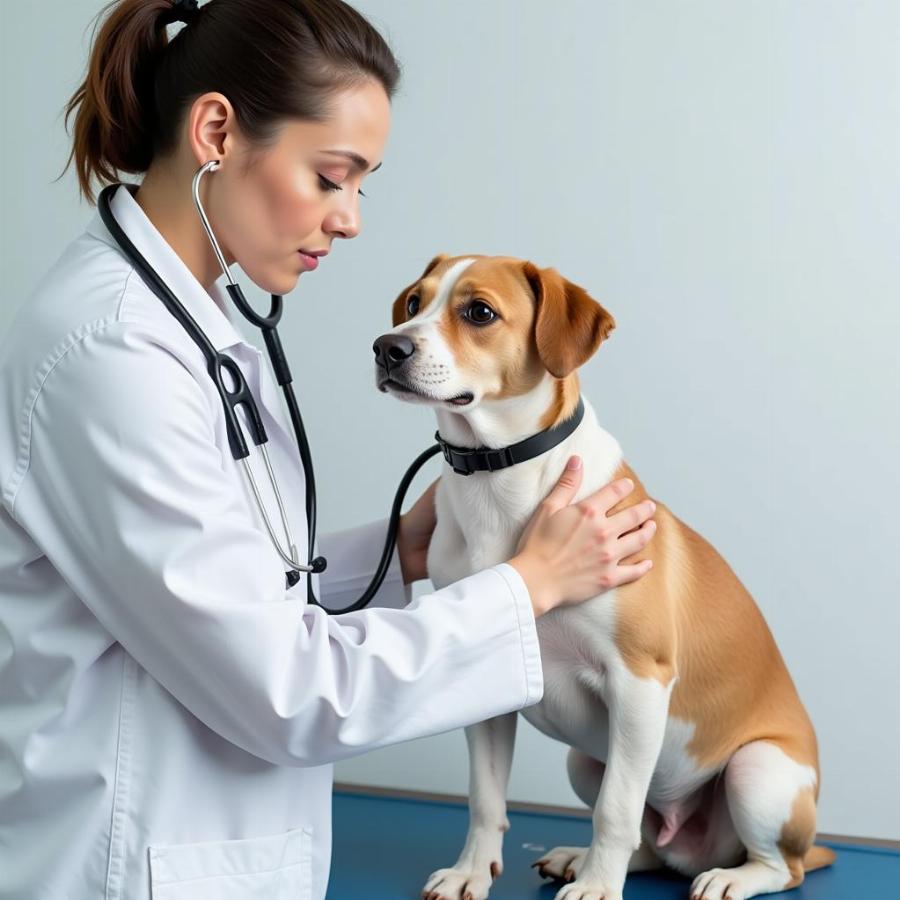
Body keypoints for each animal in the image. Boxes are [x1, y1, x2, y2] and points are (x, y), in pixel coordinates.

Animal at [372, 253, 836, 900]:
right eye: (415, 303)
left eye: (479, 312)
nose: (387, 347)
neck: (499, 483)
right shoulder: (492, 676)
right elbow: (485, 796)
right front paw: (472, 872)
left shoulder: (639, 680)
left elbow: (615, 810)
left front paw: (596, 889)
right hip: (584, 763)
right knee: (651, 844)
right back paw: (581, 858)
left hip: (758, 772)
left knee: (776, 866)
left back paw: (725, 877)